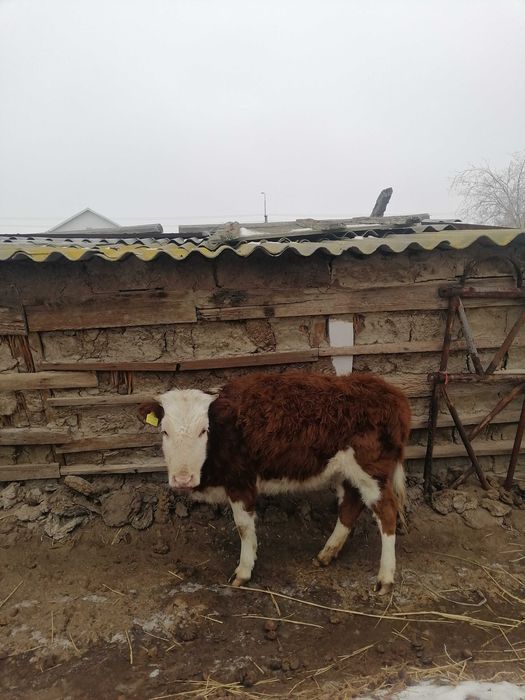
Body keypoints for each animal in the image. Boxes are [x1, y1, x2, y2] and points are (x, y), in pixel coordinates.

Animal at [138, 371, 411, 594]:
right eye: (164, 431)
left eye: (203, 431)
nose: (183, 479)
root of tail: (390, 392)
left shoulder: (241, 482)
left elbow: (244, 528)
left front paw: (243, 572)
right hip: (348, 473)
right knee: (350, 506)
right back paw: (326, 554)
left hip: (372, 471)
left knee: (387, 512)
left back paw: (385, 579)